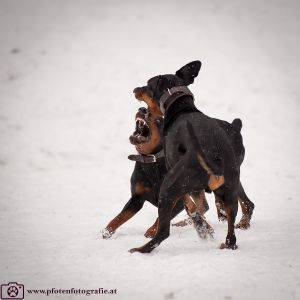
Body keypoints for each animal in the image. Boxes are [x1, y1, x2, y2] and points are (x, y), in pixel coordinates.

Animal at [130, 59, 254, 252]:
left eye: (148, 85)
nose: (135, 89)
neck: (183, 108)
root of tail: (214, 160)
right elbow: (197, 206)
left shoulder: (172, 168)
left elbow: (191, 205)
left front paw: (200, 225)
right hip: (231, 185)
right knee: (236, 219)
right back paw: (226, 239)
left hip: (169, 187)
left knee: (163, 232)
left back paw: (141, 249)